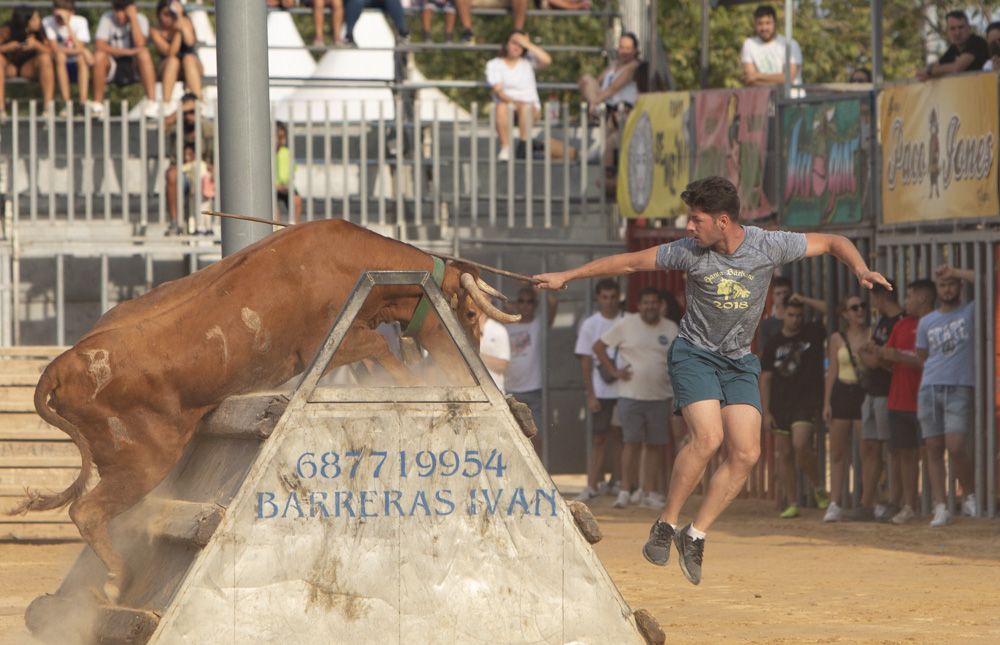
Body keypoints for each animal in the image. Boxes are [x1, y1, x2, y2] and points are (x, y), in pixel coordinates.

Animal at [9, 219, 516, 600]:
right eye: (471, 315)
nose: (466, 362)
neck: (348, 261)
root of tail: (62, 363)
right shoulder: (336, 341)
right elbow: (380, 350)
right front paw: (408, 381)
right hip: (141, 463)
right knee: (88, 511)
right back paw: (117, 581)